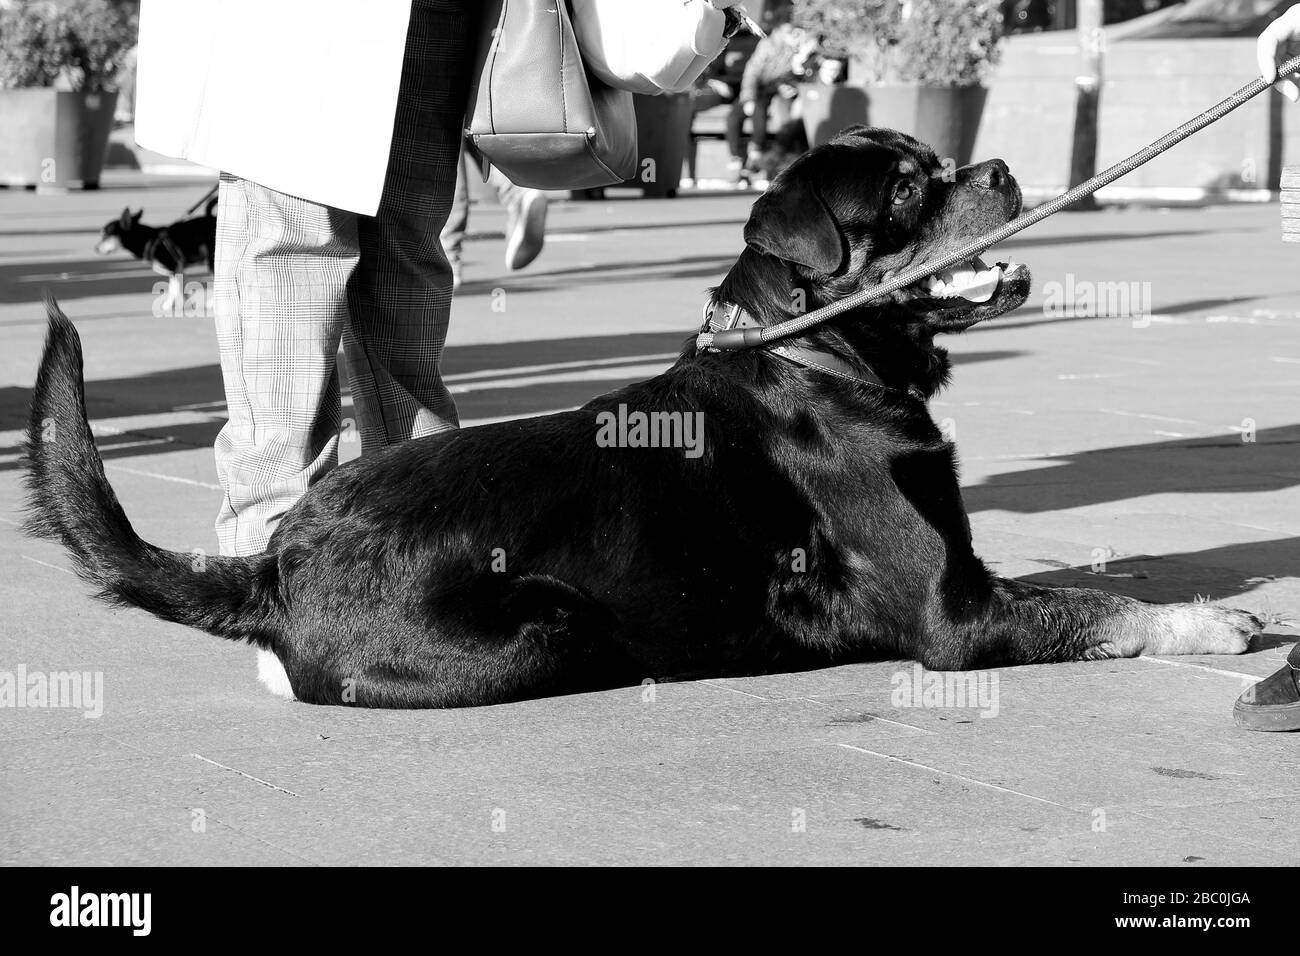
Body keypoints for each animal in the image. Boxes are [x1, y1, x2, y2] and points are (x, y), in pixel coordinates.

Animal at [22, 127, 1258, 707]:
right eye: (909, 190)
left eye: (938, 159)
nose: (997, 165)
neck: (819, 353)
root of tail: (275, 561)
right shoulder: (956, 616)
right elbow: (1094, 609)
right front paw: (1209, 624)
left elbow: (1086, 585)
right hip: (549, 625)